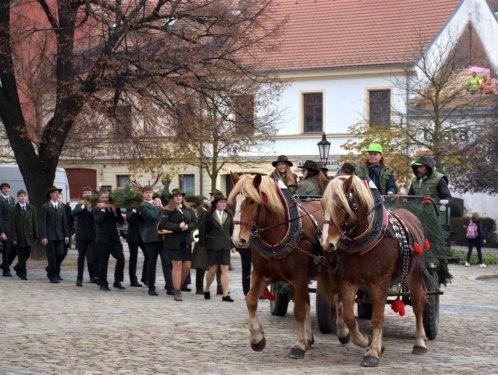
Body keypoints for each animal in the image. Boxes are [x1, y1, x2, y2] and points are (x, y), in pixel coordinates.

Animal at [231, 172, 330, 360]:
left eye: (252, 201)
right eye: (233, 201)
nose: (237, 240)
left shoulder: (299, 277)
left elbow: (299, 310)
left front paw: (299, 345)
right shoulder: (262, 274)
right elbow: (251, 300)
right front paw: (257, 339)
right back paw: (310, 337)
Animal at [320, 176, 428, 368]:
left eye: (341, 206)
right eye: (322, 205)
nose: (327, 243)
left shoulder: (380, 282)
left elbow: (377, 317)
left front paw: (372, 353)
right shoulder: (349, 280)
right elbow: (349, 316)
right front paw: (366, 341)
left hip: (415, 277)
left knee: (418, 306)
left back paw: (420, 342)